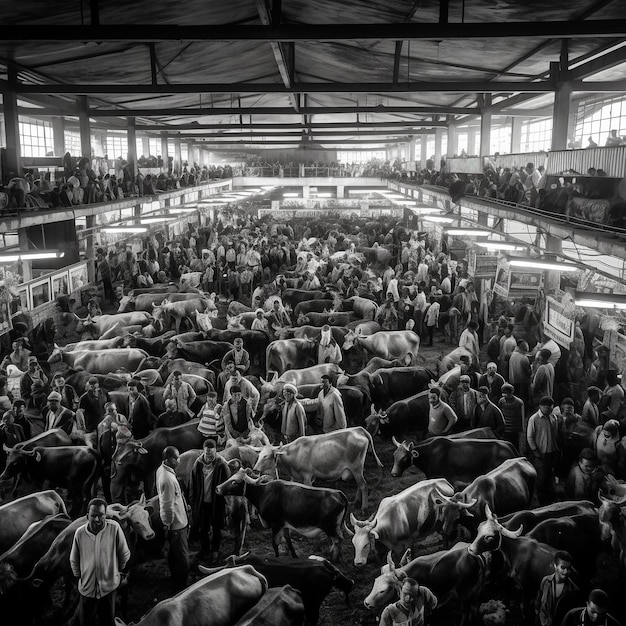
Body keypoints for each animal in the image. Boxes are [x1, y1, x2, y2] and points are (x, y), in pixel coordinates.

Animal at [252, 426, 382, 510]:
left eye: (266, 456)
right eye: (259, 455)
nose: (255, 469)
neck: (295, 452)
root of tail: (359, 430)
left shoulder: (307, 476)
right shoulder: (295, 477)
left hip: (356, 467)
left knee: (363, 485)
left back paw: (364, 507)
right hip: (356, 469)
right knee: (359, 485)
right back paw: (355, 502)